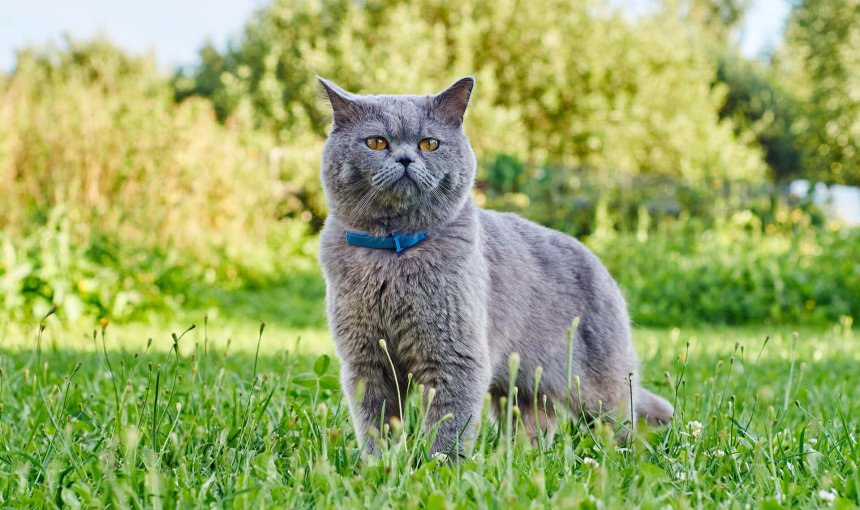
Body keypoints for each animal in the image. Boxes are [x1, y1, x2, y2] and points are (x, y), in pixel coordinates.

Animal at [316, 76, 672, 458]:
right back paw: (523, 456)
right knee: (536, 421)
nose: (406, 158)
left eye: (429, 143)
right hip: (523, 386)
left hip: (598, 387)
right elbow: (376, 424)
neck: (392, 253)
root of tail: (600, 265)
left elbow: (448, 426)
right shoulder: (366, 360)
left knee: (621, 421)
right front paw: (379, 464)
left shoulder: (456, 356)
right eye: (376, 142)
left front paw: (439, 465)